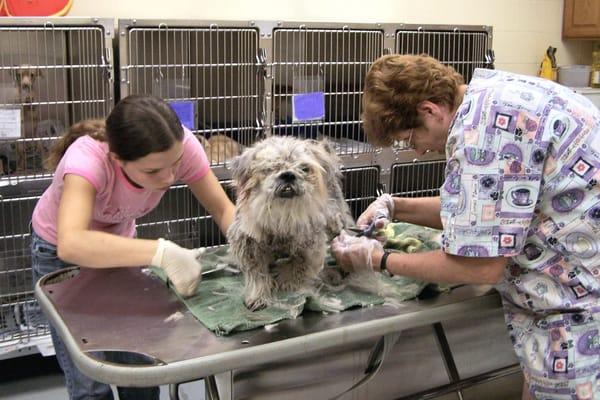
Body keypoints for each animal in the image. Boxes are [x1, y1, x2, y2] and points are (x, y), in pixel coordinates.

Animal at [227, 136, 354, 310]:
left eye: (304, 168)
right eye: (271, 168)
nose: (288, 175)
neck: (282, 217)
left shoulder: (311, 246)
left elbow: (297, 265)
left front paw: (285, 279)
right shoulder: (248, 245)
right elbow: (257, 274)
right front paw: (258, 296)